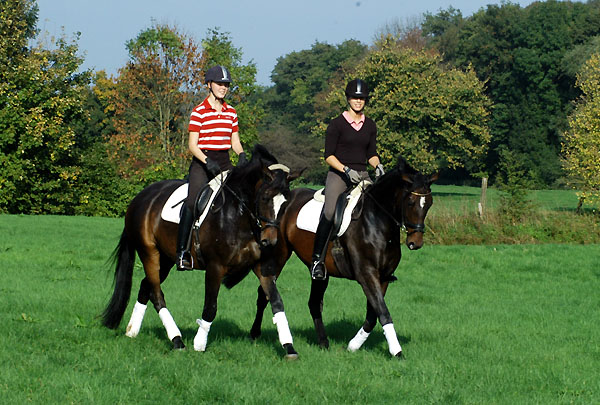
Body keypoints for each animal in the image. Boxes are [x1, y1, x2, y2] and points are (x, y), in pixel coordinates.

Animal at [102, 145, 304, 356]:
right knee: (156, 294)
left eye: (285, 203)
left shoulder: (262, 267)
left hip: (165, 259)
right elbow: (210, 307)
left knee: (145, 286)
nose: (270, 241)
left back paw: (132, 331)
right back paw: (177, 340)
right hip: (149, 253)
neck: (240, 216)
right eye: (265, 198)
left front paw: (289, 347)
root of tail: (140, 197)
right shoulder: (215, 267)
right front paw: (199, 344)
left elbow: (276, 302)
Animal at [248, 155, 436, 356]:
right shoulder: (366, 274)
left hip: (321, 274)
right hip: (279, 255)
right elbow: (383, 312)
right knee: (265, 293)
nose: (415, 243)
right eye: (410, 202)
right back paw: (255, 333)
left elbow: (373, 315)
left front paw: (353, 345)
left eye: (429, 204)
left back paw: (323, 342)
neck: (376, 220)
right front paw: (397, 352)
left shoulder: (383, 277)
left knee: (314, 302)